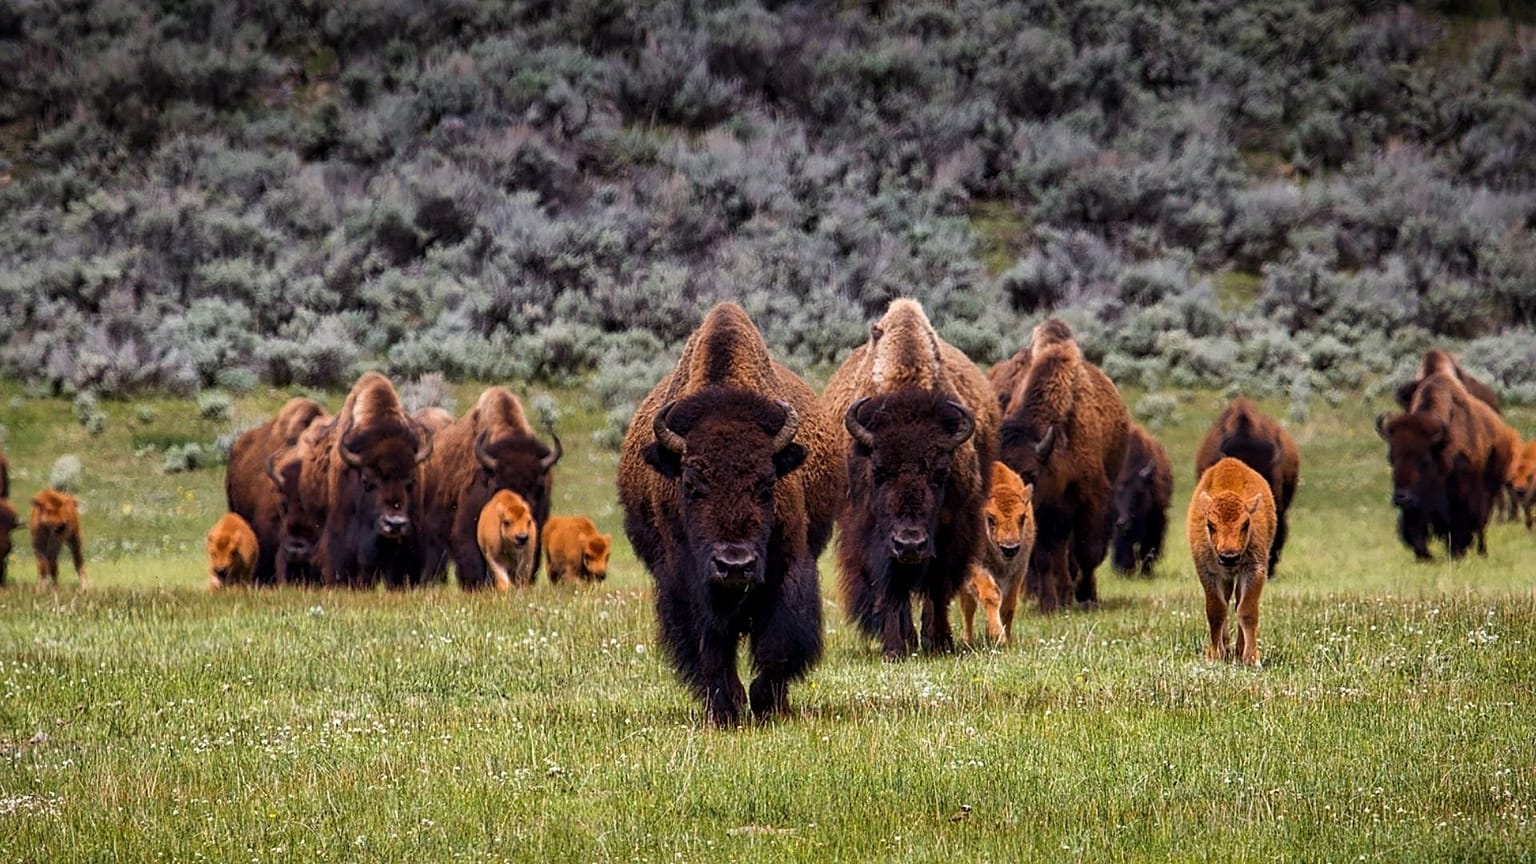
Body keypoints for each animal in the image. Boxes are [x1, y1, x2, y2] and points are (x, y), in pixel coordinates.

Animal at [618, 302, 840, 726]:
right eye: (690, 485)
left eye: (767, 484)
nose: (734, 565)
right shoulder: (685, 580)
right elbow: (710, 647)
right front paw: (726, 708)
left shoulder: (788, 566)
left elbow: (778, 644)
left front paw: (767, 703)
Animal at [824, 299, 999, 658]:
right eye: (878, 470)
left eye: (941, 472)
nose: (910, 544)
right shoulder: (869, 534)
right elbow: (891, 589)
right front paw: (894, 647)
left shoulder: (952, 530)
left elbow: (937, 586)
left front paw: (940, 641)